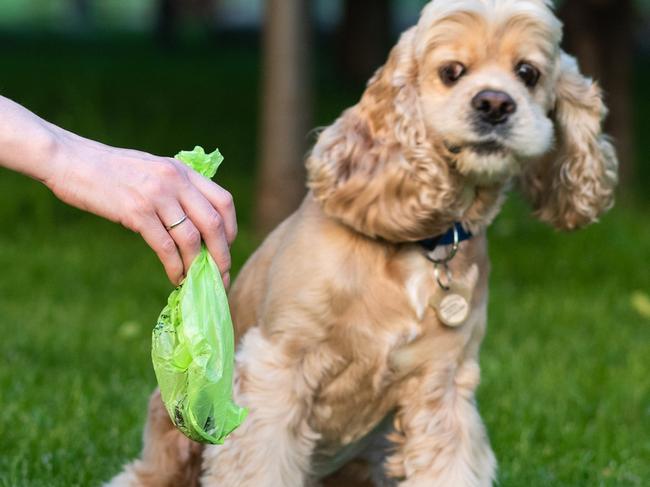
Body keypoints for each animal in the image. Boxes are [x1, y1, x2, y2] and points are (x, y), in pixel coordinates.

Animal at [109, 1, 616, 486]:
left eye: (528, 72)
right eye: (451, 71)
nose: (494, 103)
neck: (421, 244)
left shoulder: (443, 386)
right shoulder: (278, 367)